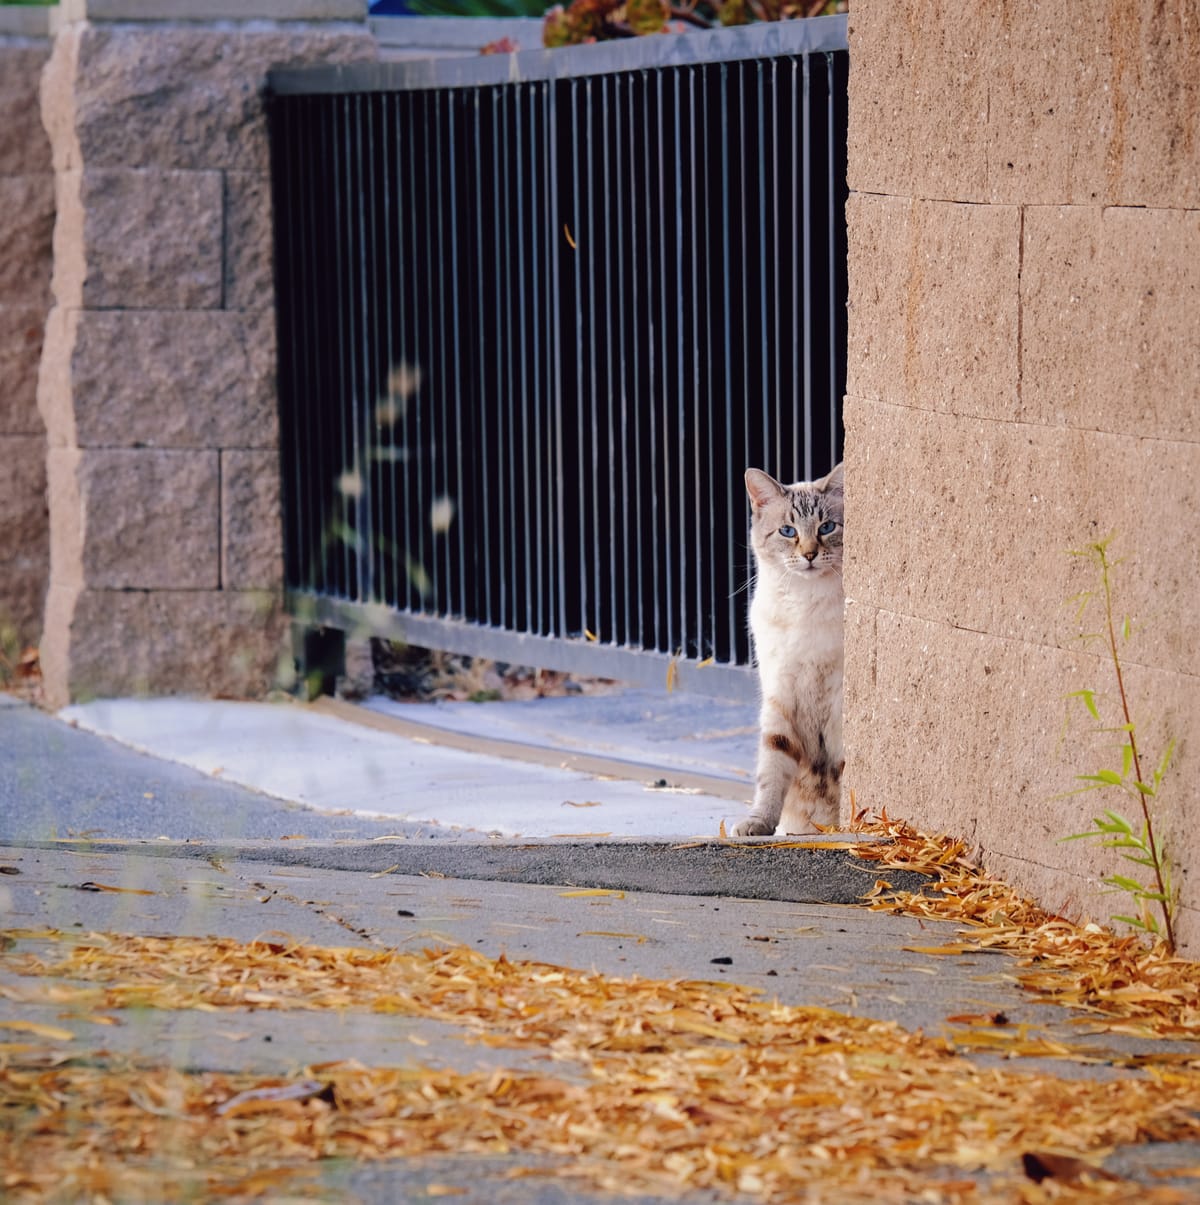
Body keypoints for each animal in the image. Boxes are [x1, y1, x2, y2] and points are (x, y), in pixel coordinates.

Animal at [732, 462, 843, 838]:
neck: (805, 606)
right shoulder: (780, 698)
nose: (809, 554)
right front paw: (757, 823)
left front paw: (845, 829)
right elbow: (771, 769)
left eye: (827, 527)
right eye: (787, 531)